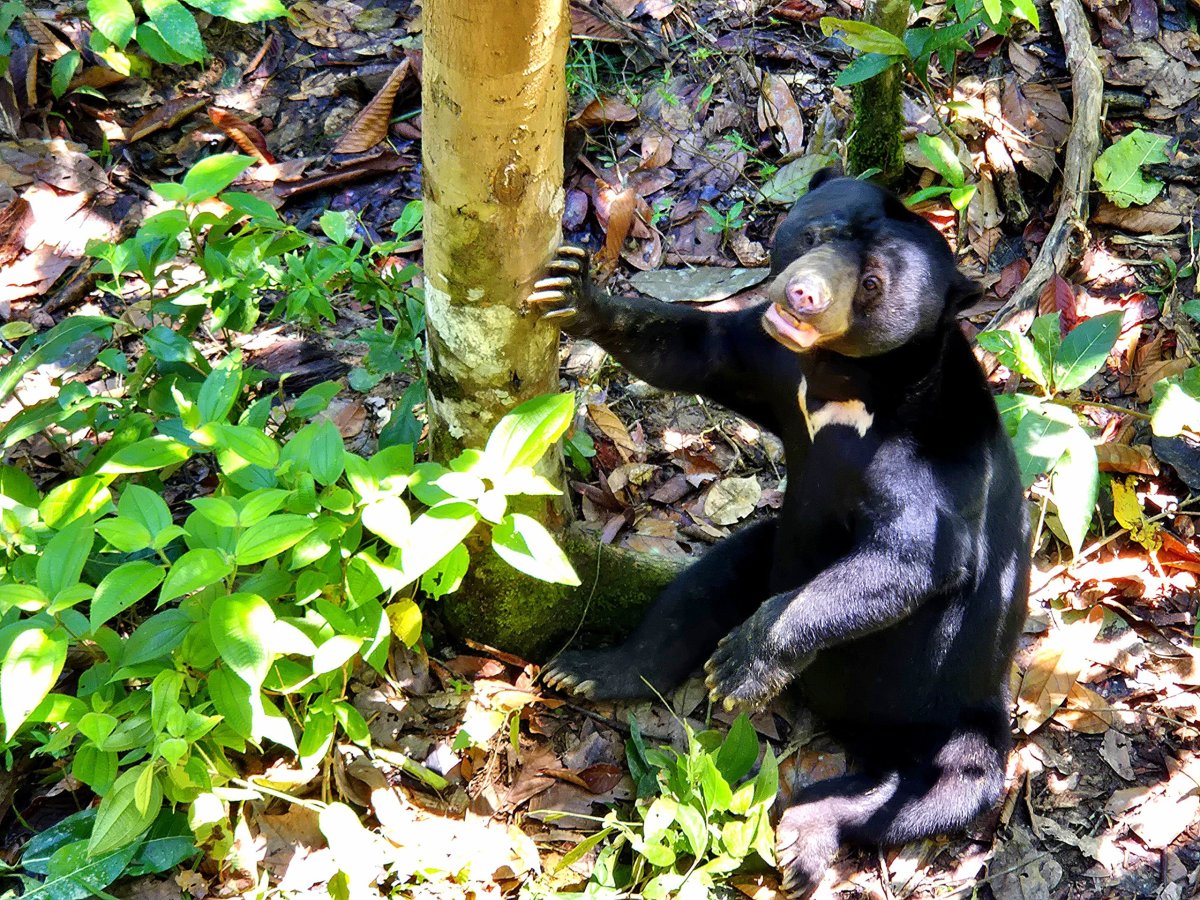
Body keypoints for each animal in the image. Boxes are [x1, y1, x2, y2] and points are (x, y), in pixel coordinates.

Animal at [528, 168, 1029, 895]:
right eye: (817, 233)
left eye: (872, 282)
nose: (802, 294)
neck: (841, 384)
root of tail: (847, 724)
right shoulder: (769, 363)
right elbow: (693, 351)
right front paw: (572, 288)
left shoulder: (935, 460)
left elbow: (912, 558)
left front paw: (743, 664)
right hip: (770, 555)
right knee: (703, 586)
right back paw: (591, 671)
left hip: (959, 704)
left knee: (947, 785)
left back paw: (804, 837)